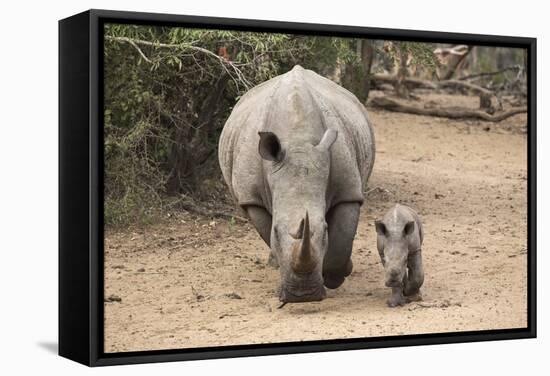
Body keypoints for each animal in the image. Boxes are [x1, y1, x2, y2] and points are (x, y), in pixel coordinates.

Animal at [219, 65, 376, 302]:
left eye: (325, 230)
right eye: (276, 231)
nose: (303, 295)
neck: (297, 141)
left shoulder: (348, 190)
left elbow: (342, 239)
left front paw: (334, 276)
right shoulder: (251, 197)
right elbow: (266, 231)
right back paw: (273, 263)